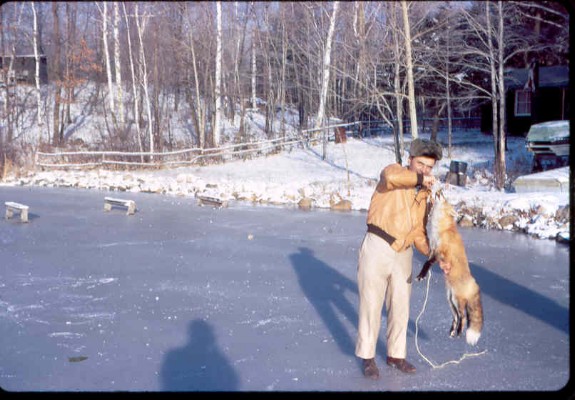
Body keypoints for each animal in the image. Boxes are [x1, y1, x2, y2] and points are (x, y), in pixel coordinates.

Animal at [416, 189, 484, 346]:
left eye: (445, 198)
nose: (440, 190)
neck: (441, 229)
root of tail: (474, 283)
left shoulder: (440, 252)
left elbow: (427, 264)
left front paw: (422, 275)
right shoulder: (432, 249)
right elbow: (426, 263)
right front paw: (422, 275)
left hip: (457, 301)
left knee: (463, 317)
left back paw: (458, 332)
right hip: (450, 301)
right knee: (456, 318)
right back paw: (452, 332)